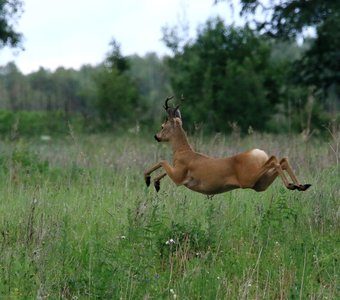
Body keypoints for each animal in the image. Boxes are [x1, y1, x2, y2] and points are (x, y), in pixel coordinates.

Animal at [143, 96, 310, 195]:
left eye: (162, 125)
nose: (156, 136)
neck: (183, 152)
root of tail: (258, 153)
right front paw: (156, 183)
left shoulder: (179, 178)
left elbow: (162, 161)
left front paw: (147, 179)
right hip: (260, 184)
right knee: (282, 160)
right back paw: (300, 185)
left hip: (249, 180)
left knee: (275, 160)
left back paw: (294, 185)